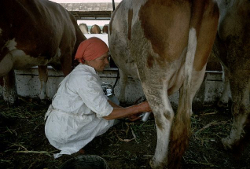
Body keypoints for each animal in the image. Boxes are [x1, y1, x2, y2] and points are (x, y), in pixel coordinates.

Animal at [108, 0, 218, 168]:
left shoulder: (122, 66)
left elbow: (123, 79)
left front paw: (121, 99)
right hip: (198, 68)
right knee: (186, 109)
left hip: (151, 68)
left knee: (164, 115)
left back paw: (157, 160)